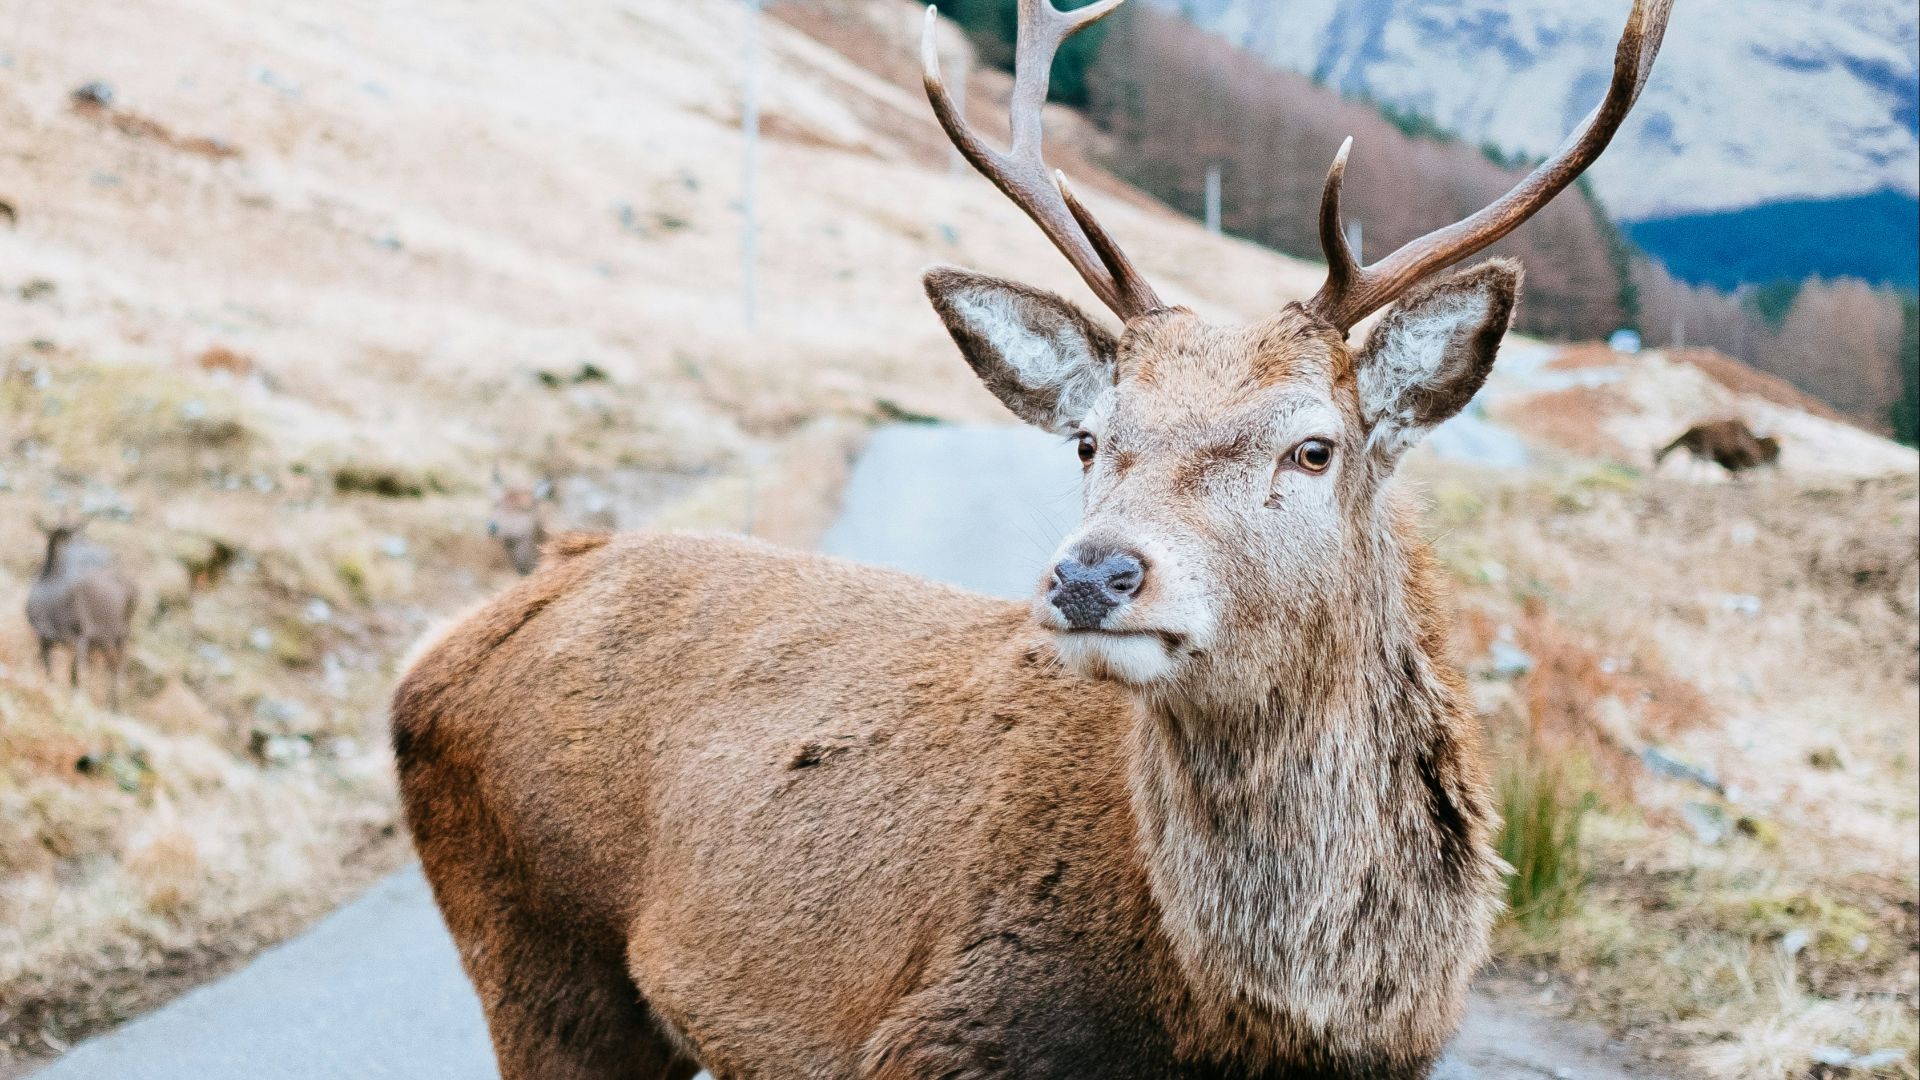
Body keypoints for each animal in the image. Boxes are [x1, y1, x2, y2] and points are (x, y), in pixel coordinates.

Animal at [26, 515, 139, 709]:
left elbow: (75, 672)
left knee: (119, 665)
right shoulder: (44, 637)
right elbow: (48, 670)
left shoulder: (81, 633)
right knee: (111, 664)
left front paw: (77, 699)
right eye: (65, 535)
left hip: (122, 632)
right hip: (104, 640)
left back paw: (115, 704)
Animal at [392, 2, 1671, 1076]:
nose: (1092, 573)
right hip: (539, 953)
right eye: (1091, 438)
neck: (1241, 1027)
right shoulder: (943, 1036)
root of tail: (440, 652)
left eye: (1313, 448)